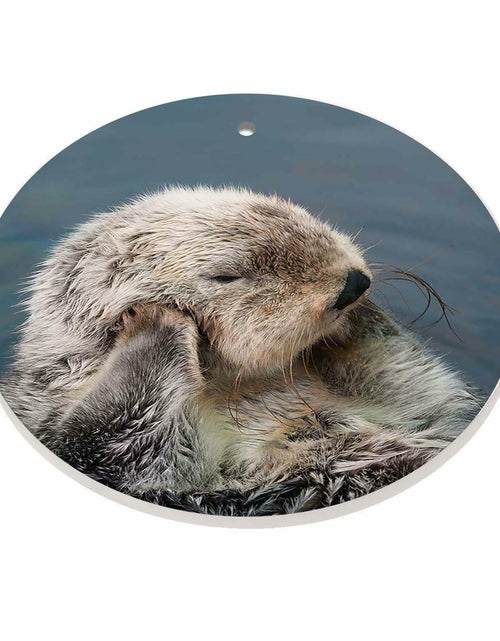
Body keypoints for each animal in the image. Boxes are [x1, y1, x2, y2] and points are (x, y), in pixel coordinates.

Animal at [1, 186, 479, 516]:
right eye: (226, 276)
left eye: (300, 215)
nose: (353, 284)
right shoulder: (110, 460)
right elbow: (117, 442)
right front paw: (156, 321)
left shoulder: (414, 405)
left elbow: (417, 388)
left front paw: (356, 325)